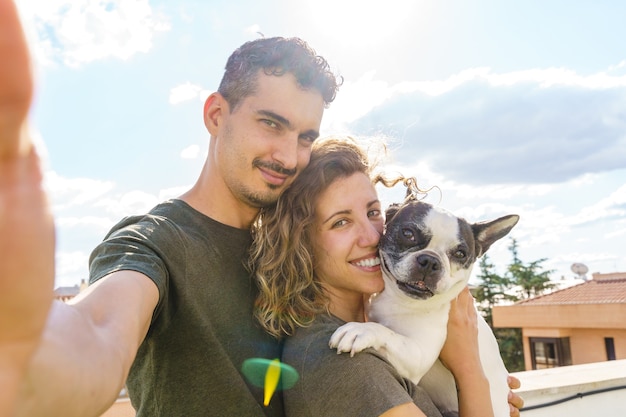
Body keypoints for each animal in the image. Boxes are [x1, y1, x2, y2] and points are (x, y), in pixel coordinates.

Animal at [330, 200, 520, 414]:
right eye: (408, 233)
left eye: (460, 254)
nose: (430, 261)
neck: (398, 299)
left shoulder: (418, 356)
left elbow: (388, 333)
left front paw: (360, 330)